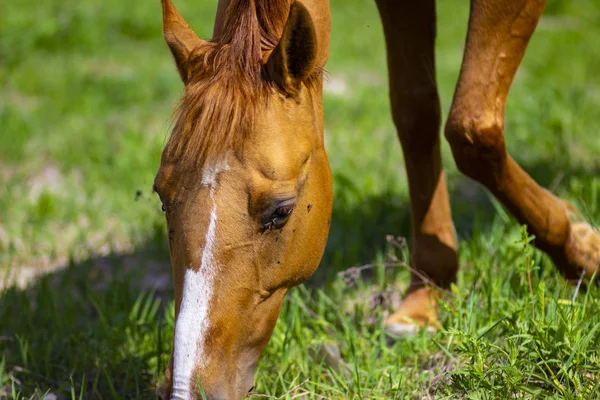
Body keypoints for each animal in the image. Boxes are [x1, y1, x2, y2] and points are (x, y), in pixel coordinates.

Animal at [152, 0, 596, 398]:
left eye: (281, 211)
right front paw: (425, 295)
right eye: (161, 198)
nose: (190, 388)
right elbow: (416, 112)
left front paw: (581, 252)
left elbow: (472, 128)